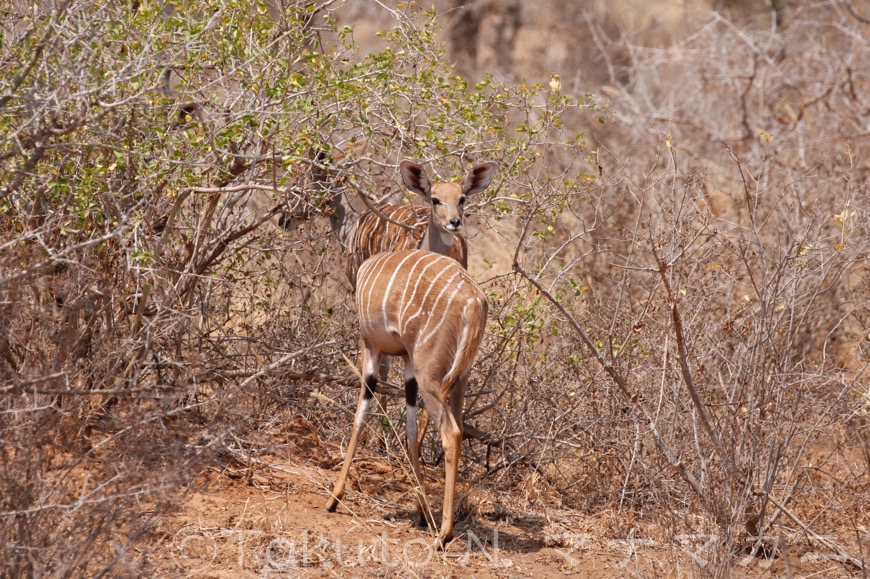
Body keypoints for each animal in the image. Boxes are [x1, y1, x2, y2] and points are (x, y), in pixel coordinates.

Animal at [328, 249, 490, 548]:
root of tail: (474, 302)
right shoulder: (407, 362)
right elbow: (411, 429)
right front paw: (422, 510)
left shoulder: (370, 345)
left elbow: (360, 415)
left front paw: (334, 497)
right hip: (459, 379)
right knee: (459, 427)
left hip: (431, 377)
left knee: (451, 432)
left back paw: (444, 534)